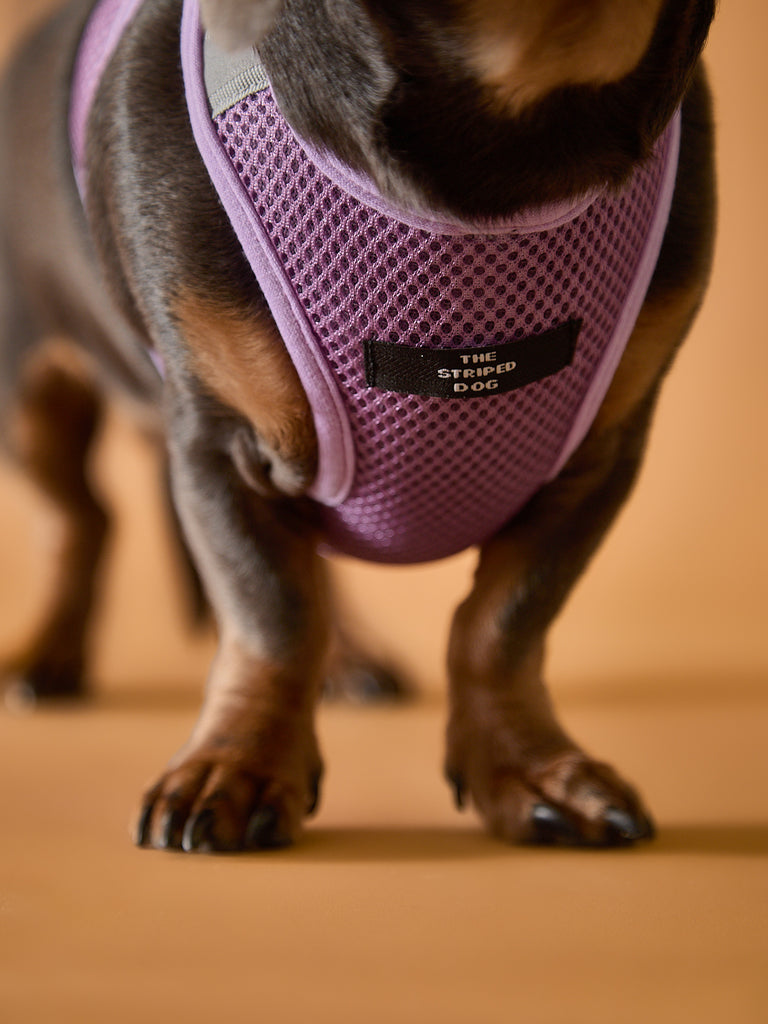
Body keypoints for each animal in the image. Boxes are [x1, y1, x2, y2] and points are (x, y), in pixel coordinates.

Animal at [0, 0, 720, 847]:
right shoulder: (218, 447)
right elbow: (272, 612)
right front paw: (236, 767)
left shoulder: (598, 459)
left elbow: (503, 622)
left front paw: (528, 767)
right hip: (29, 392)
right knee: (81, 520)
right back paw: (47, 655)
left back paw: (347, 660)